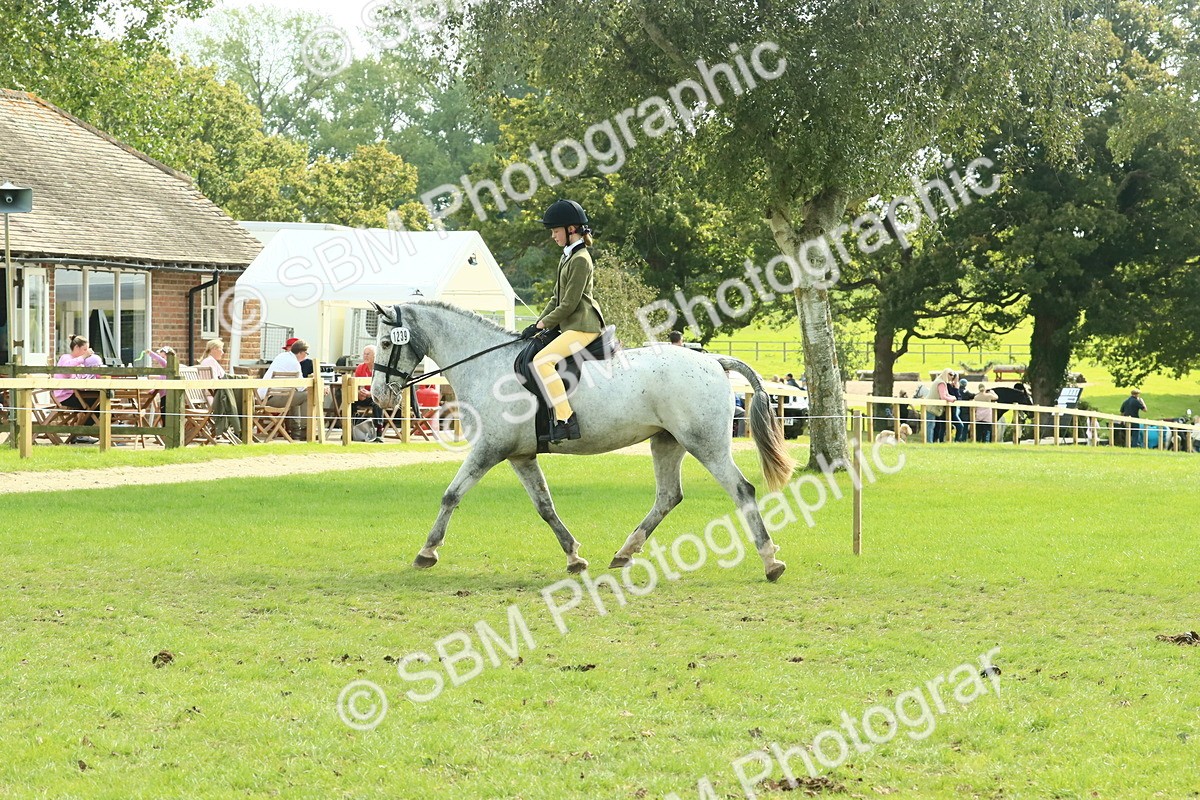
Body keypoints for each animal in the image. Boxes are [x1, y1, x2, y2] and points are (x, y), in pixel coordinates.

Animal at [369, 301, 796, 581]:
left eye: (388, 344)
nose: (379, 396)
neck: (486, 365)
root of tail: (714, 361)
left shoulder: (490, 449)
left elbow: (451, 495)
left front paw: (427, 552)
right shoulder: (520, 456)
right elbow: (545, 506)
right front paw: (574, 557)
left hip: (705, 445)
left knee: (741, 490)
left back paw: (771, 561)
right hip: (667, 442)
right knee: (667, 497)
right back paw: (624, 553)